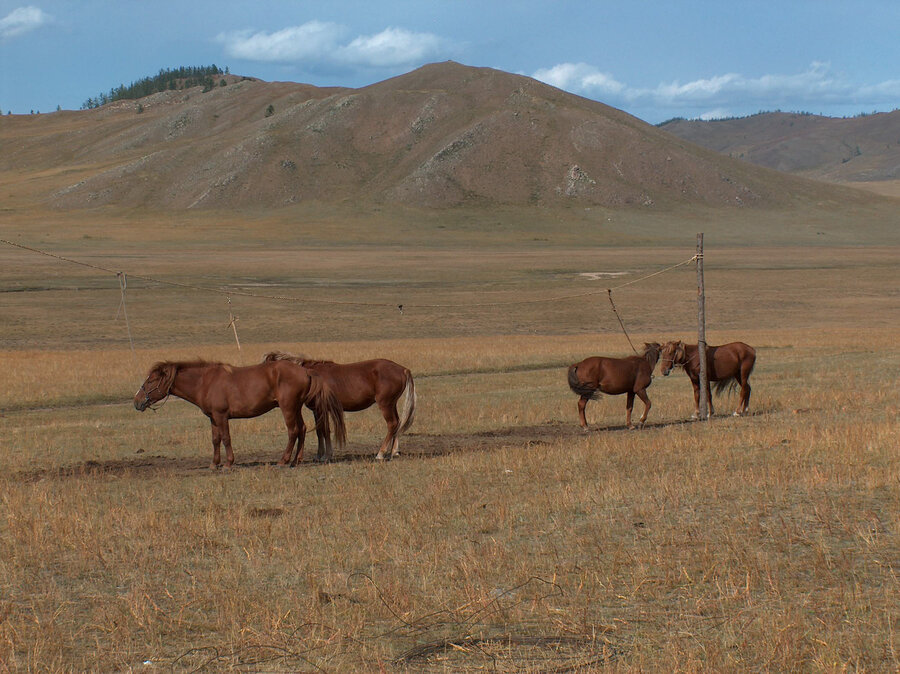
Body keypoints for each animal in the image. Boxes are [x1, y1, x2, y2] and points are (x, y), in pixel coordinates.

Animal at [135, 356, 346, 468]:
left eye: (151, 381)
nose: (137, 402)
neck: (205, 382)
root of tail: (306, 371)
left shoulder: (221, 416)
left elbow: (226, 438)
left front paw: (228, 463)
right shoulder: (213, 418)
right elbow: (215, 440)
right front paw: (214, 463)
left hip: (288, 408)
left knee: (293, 431)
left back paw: (283, 460)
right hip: (295, 408)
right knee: (301, 430)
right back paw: (296, 460)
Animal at [260, 350, 414, 460]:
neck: (310, 375)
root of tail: (403, 369)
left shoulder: (321, 409)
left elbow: (325, 430)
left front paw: (326, 455)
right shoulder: (317, 410)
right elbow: (320, 431)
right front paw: (319, 454)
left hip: (385, 404)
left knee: (392, 424)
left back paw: (380, 453)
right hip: (392, 404)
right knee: (398, 422)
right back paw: (394, 451)